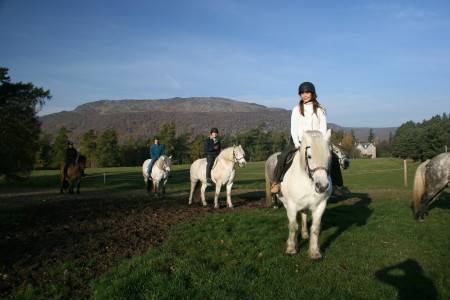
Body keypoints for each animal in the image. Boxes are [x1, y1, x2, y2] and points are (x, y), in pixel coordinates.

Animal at [266, 130, 332, 258]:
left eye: (329, 157)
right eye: (309, 156)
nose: (322, 186)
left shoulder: (321, 205)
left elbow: (315, 228)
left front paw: (314, 252)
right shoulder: (291, 205)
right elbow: (293, 226)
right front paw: (291, 248)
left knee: (303, 215)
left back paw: (305, 234)